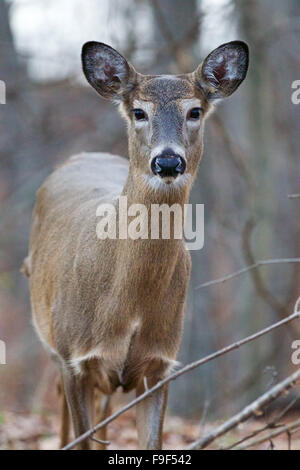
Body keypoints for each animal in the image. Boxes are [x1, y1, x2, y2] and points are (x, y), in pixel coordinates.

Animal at [22, 39, 248, 448]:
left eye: (194, 110)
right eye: (139, 112)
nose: (168, 161)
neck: (126, 304)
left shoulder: (159, 363)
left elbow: (151, 442)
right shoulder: (73, 357)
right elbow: (81, 438)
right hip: (53, 344)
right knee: (65, 425)